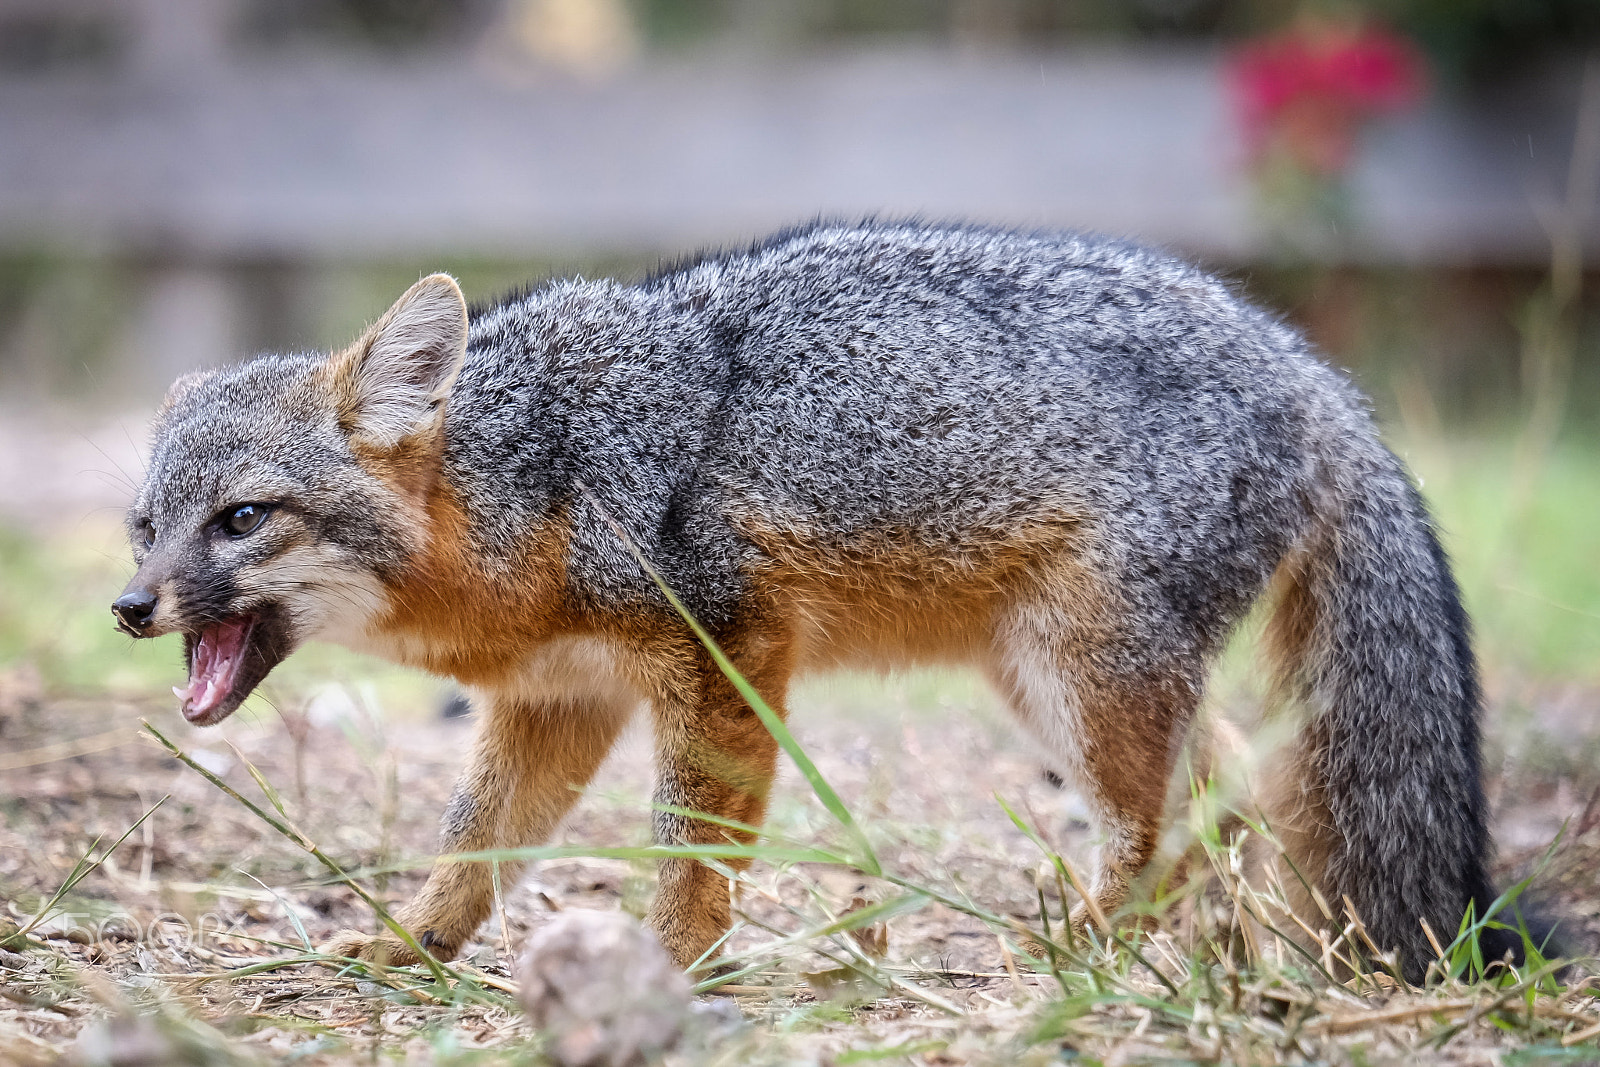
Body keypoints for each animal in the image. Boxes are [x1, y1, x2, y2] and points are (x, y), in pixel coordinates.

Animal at [114, 220, 1524, 982]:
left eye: (241, 518)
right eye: (144, 522)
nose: (130, 605)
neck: (544, 474)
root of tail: (1310, 369)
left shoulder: (729, 657)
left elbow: (688, 853)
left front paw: (662, 971)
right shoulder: (562, 697)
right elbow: (475, 846)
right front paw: (411, 948)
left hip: (1086, 679)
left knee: (1162, 838)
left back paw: (1070, 955)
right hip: (1057, 681)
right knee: (1222, 806)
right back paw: (1208, 972)